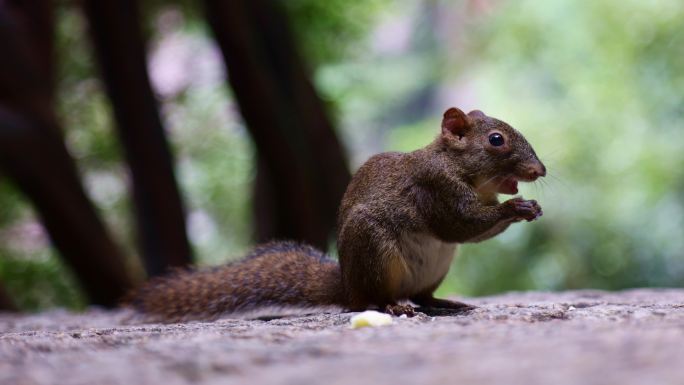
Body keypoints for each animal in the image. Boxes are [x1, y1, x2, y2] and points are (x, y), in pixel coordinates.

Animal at [128, 107, 544, 320]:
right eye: (496, 140)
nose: (539, 171)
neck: (459, 168)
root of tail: (345, 284)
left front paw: (530, 207)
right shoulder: (434, 188)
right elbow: (461, 224)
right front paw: (515, 207)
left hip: (434, 268)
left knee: (422, 296)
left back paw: (445, 302)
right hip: (374, 253)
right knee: (369, 302)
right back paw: (392, 306)